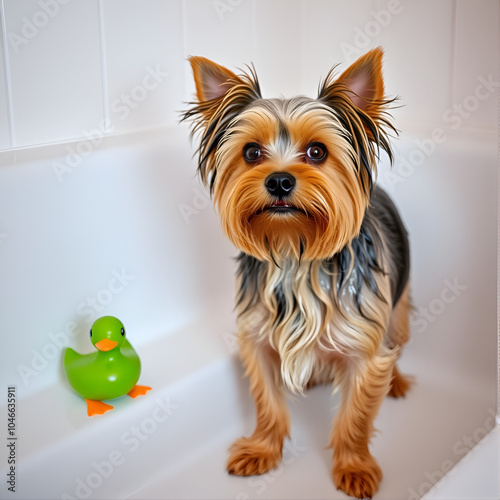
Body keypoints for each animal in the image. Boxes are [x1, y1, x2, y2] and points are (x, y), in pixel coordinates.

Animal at [182, 47, 412, 500]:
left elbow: (356, 416)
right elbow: (267, 403)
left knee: (397, 338)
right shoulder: (256, 338)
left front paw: (354, 466)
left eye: (318, 152)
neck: (295, 252)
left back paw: (395, 381)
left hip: (398, 304)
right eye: (252, 152)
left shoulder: (364, 345)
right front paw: (262, 450)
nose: (279, 181)